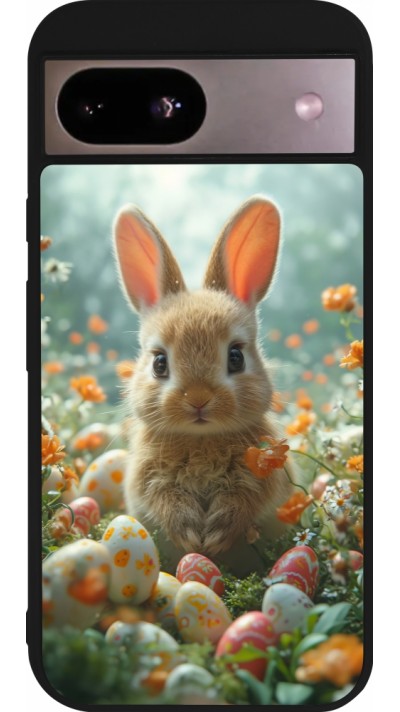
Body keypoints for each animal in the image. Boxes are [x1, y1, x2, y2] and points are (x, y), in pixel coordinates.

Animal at [113, 195, 294, 572]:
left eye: (236, 357)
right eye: (159, 363)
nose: (198, 399)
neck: (201, 439)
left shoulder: (263, 475)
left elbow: (244, 500)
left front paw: (216, 536)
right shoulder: (147, 479)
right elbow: (164, 500)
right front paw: (191, 535)